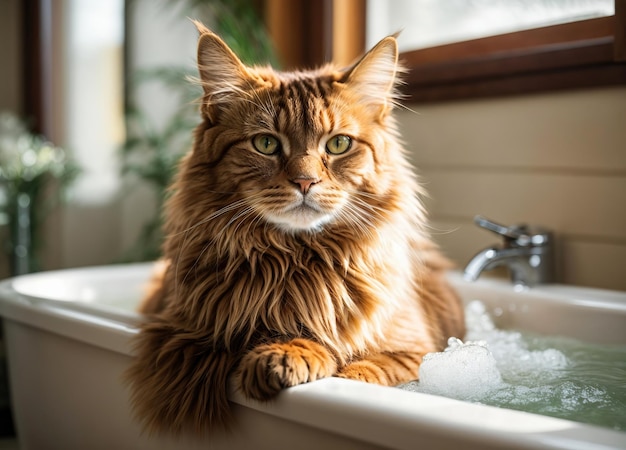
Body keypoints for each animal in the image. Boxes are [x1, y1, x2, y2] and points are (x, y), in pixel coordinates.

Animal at [125, 21, 464, 436]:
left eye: (338, 144)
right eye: (266, 143)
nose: (305, 182)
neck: (297, 260)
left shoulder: (417, 352)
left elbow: (365, 369)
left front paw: (290, 354)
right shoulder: (183, 331)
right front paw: (286, 349)